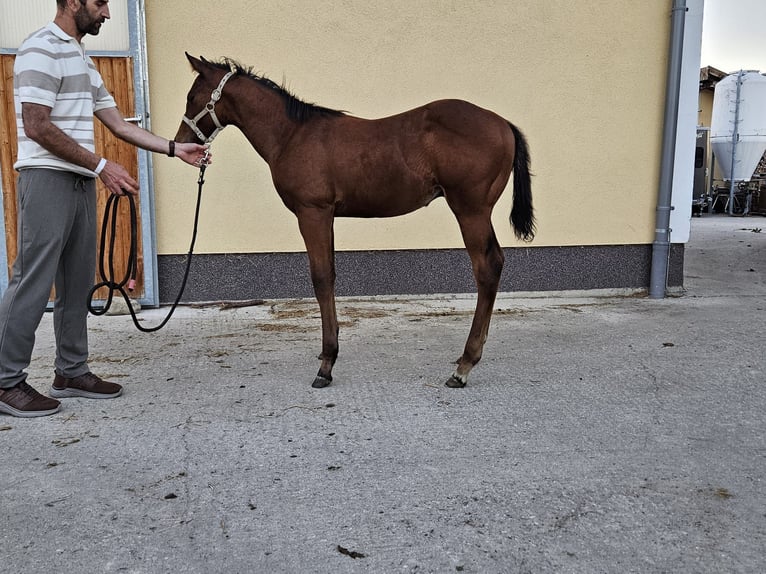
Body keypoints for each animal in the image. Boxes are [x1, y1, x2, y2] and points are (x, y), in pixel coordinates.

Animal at [175, 54, 534, 389]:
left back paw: (463, 367)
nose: (182, 142)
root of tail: (503, 123)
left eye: (192, 96)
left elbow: (321, 279)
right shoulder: (327, 216)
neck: (292, 134)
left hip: (470, 210)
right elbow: (331, 275)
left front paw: (326, 366)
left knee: (487, 268)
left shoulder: (313, 212)